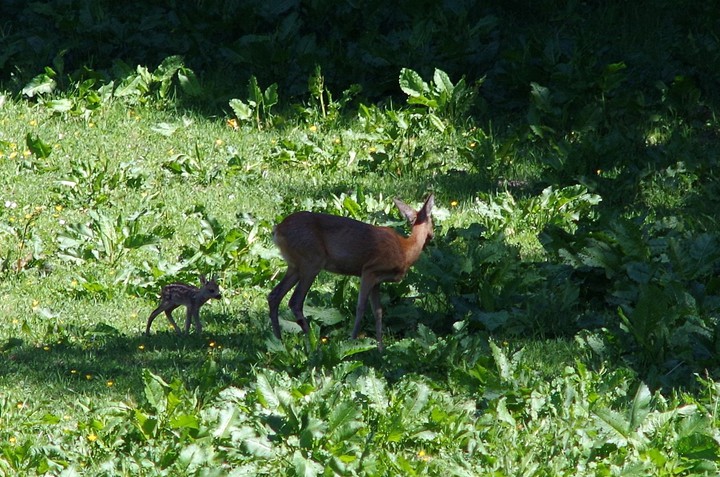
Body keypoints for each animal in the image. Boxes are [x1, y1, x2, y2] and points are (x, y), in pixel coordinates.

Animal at [266, 193, 430, 350]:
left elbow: (378, 311)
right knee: (295, 301)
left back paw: (278, 340)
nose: (432, 236)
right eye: (432, 220)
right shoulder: (369, 270)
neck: (405, 250)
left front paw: (381, 348)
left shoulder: (377, 281)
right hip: (311, 261)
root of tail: (277, 229)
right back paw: (314, 345)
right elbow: (361, 308)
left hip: (295, 265)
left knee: (274, 295)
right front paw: (352, 342)